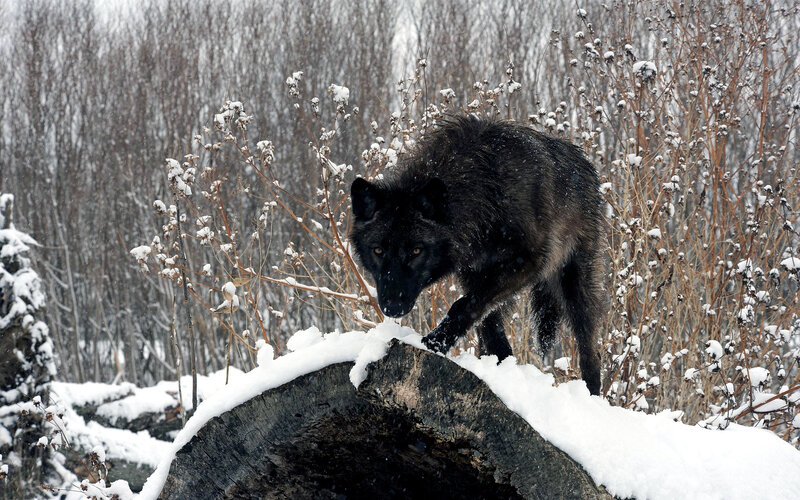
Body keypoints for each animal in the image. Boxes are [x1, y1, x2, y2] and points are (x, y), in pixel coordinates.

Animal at [349, 116, 603, 395]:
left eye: (416, 251)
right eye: (378, 250)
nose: (392, 306)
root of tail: (583, 161)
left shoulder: (527, 262)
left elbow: (464, 306)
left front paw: (434, 343)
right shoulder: (474, 274)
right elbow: (487, 325)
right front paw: (500, 370)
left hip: (574, 283)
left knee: (589, 348)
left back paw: (591, 395)